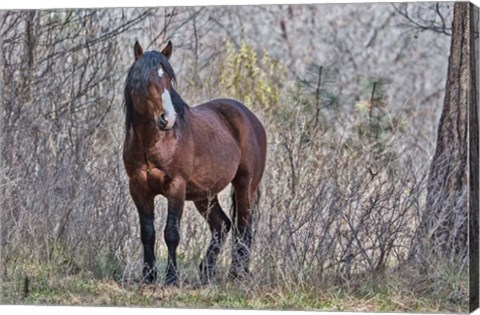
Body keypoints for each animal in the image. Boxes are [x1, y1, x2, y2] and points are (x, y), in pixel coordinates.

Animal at [123, 40, 266, 286]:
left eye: (168, 80)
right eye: (143, 80)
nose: (167, 118)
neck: (154, 142)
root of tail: (251, 118)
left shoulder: (176, 187)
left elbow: (171, 233)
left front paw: (172, 277)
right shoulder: (139, 188)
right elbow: (148, 232)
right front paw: (148, 276)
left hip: (245, 185)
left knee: (243, 227)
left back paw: (236, 274)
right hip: (205, 195)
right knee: (222, 225)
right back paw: (207, 271)